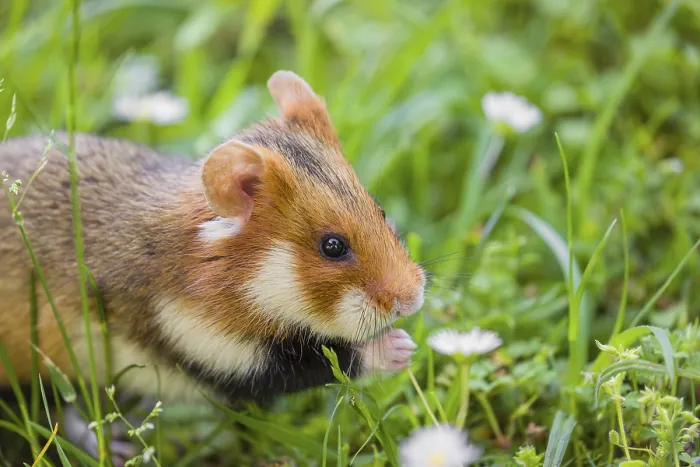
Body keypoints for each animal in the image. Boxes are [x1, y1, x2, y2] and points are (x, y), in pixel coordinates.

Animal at [0, 71, 426, 407]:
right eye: (333, 246)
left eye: (381, 211)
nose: (413, 301)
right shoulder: (203, 344)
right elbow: (311, 364)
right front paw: (401, 347)